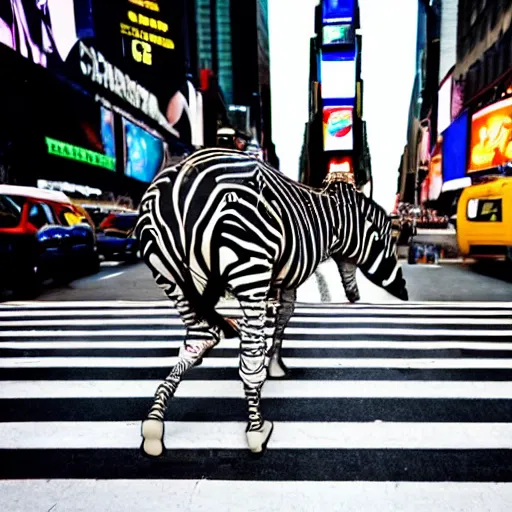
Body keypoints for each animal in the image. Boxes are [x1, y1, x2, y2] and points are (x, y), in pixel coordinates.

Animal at [136, 148, 408, 456]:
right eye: (388, 243)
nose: (404, 293)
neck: (331, 220)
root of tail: (179, 181)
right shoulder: (289, 277)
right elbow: (284, 317)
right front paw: (274, 366)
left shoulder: (279, 279)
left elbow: (279, 320)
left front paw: (274, 363)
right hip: (249, 265)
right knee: (248, 360)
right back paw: (257, 430)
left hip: (171, 280)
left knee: (198, 342)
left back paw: (154, 424)